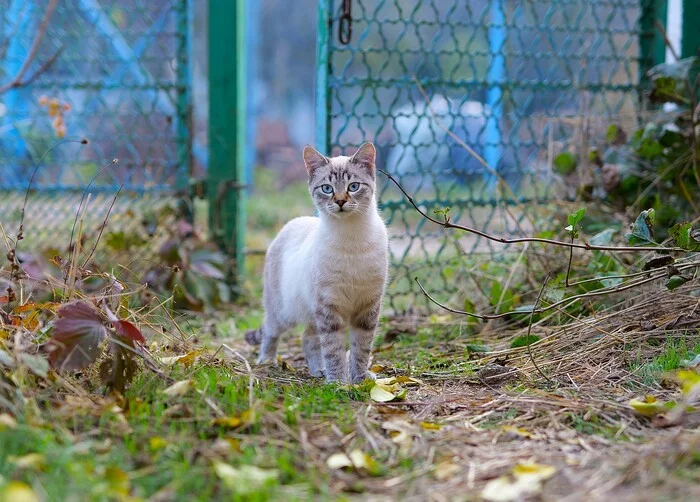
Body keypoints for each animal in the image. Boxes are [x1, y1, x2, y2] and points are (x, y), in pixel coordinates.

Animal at [246, 143, 388, 382]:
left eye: (353, 186)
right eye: (327, 189)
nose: (340, 201)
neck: (351, 237)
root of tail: (294, 222)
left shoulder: (367, 307)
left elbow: (361, 348)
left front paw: (359, 379)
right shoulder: (329, 307)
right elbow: (333, 349)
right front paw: (338, 382)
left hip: (312, 312)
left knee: (307, 338)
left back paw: (318, 371)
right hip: (284, 311)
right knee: (270, 331)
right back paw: (266, 361)